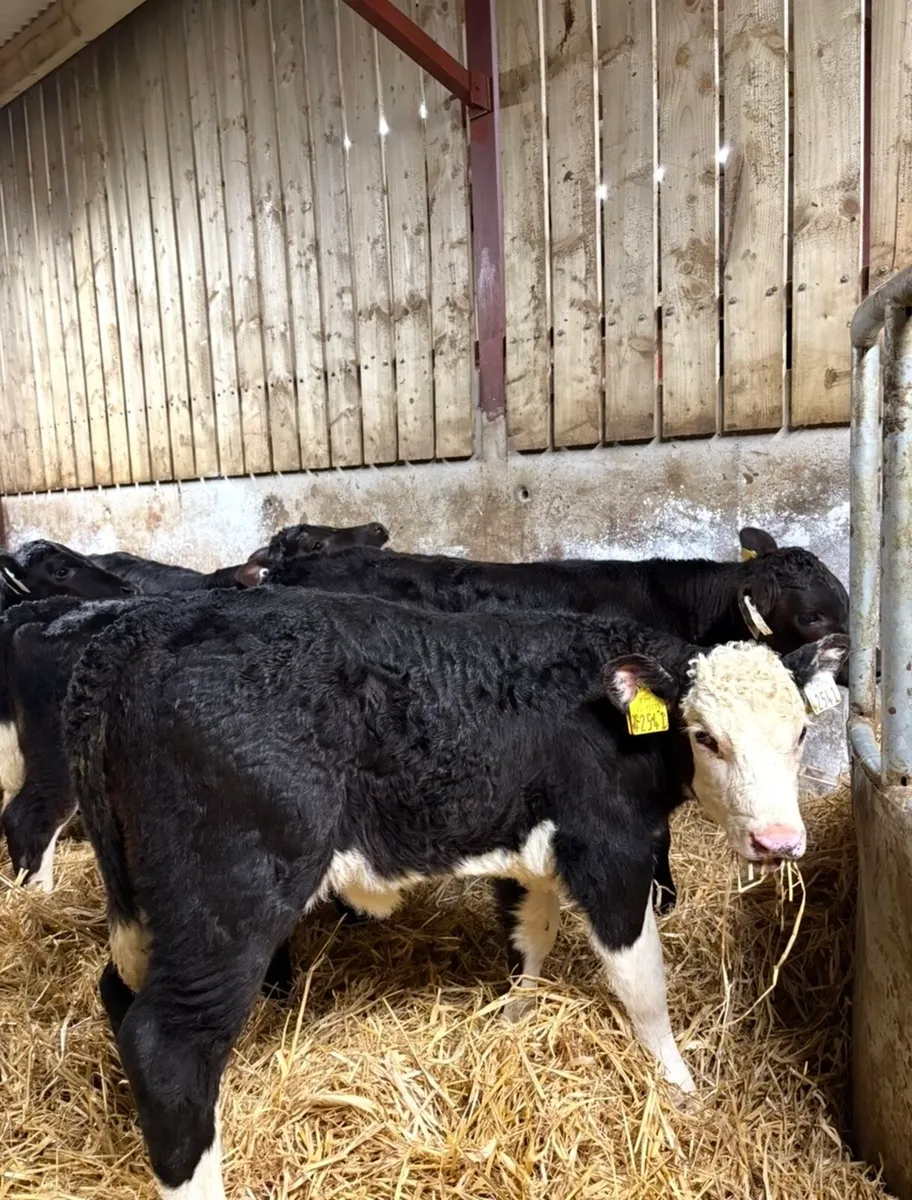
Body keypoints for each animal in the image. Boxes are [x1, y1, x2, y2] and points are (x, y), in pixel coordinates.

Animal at [63, 587, 848, 1199]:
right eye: (704, 735)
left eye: (801, 732)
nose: (779, 841)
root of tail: (139, 637)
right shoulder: (612, 851)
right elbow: (643, 986)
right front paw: (679, 1087)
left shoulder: (529, 849)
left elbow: (530, 940)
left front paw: (517, 1023)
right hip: (230, 898)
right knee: (168, 1043)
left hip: (144, 907)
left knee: (118, 993)